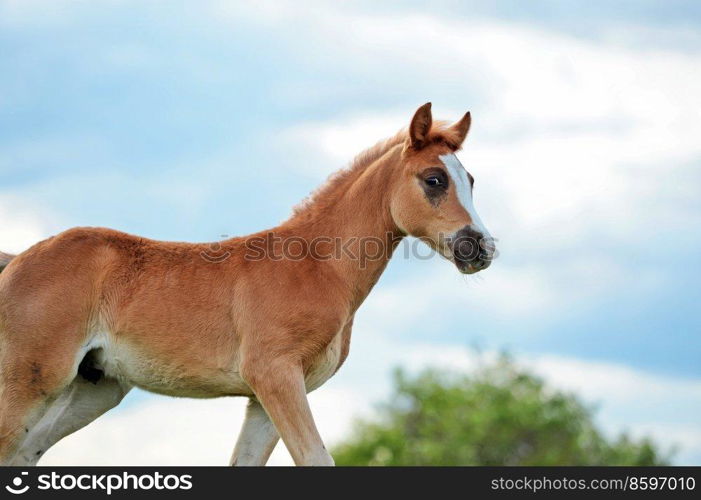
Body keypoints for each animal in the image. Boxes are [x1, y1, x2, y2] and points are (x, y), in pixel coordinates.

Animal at [0, 103, 492, 466]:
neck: (316, 266)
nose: (480, 247)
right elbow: (316, 459)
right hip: (30, 380)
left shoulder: (266, 395)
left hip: (95, 388)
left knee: (26, 453)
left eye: (470, 179)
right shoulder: (275, 375)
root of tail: (16, 261)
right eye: (434, 179)